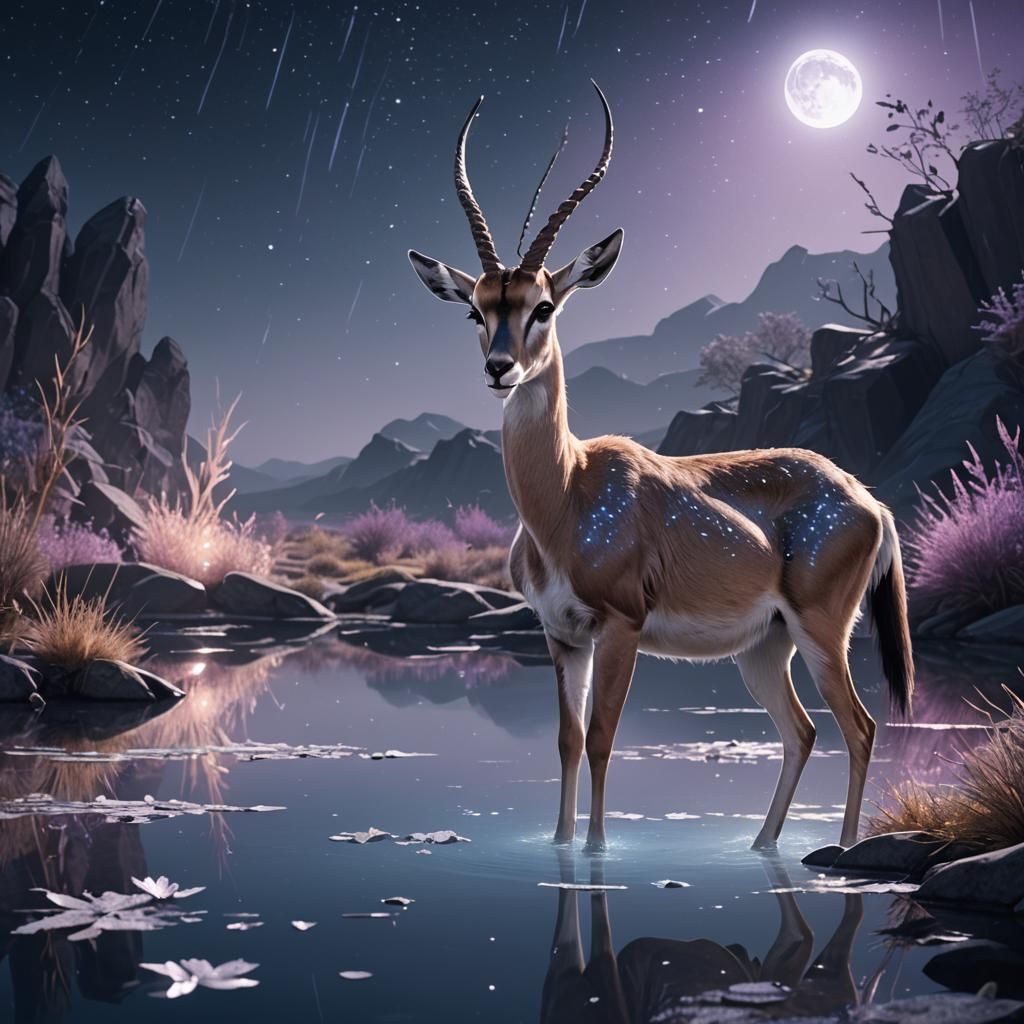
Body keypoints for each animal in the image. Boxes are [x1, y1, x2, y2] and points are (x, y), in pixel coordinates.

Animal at [408, 82, 914, 853]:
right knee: (801, 732)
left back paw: (841, 849)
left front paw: (595, 850)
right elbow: (564, 741)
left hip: (822, 631)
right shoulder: (561, 634)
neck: (567, 496)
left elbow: (601, 740)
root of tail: (867, 499)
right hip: (763, 648)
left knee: (859, 727)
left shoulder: (621, 625)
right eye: (476, 309)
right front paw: (559, 846)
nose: (499, 368)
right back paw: (761, 846)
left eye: (543, 306)